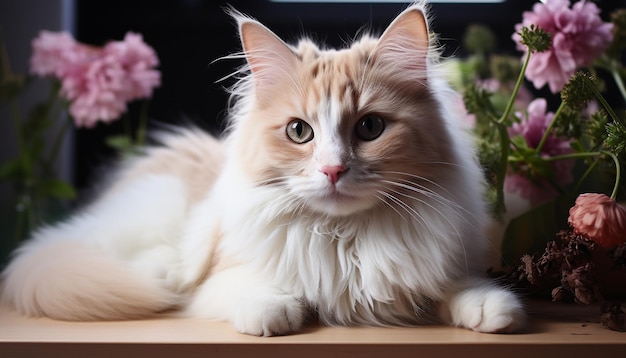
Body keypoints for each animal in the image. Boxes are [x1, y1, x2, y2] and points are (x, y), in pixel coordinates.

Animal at [1, 0, 520, 336]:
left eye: (370, 127)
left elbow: (457, 286)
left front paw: (492, 309)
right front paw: (277, 310)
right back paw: (158, 273)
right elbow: (247, 290)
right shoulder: (220, 274)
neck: (345, 238)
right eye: (299, 132)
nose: (333, 170)